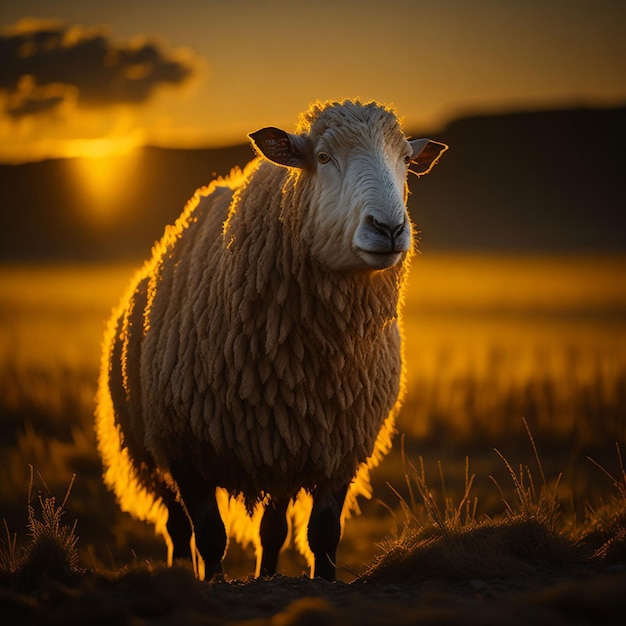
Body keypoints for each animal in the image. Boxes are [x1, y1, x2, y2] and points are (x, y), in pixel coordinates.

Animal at [94, 98, 444, 580]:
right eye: (322, 157)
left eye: (407, 161)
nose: (389, 228)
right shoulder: (183, 450)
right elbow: (210, 536)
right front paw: (213, 582)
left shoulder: (339, 448)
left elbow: (324, 536)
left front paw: (322, 579)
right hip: (148, 450)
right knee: (177, 528)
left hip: (282, 446)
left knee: (272, 529)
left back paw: (267, 573)